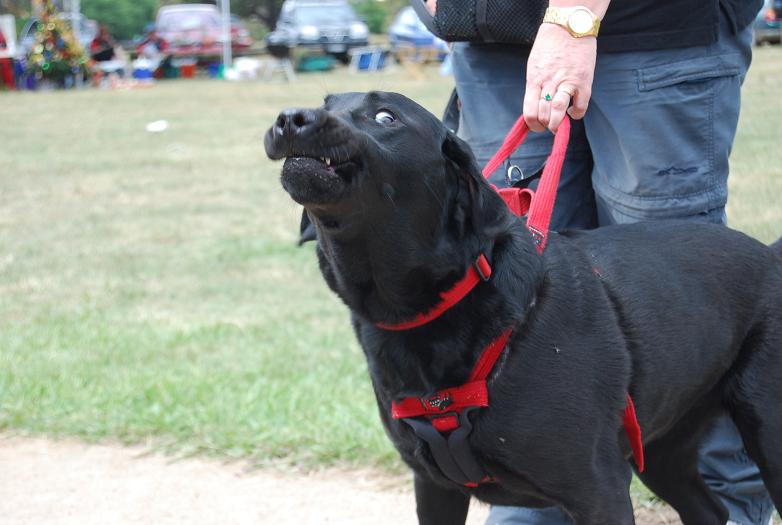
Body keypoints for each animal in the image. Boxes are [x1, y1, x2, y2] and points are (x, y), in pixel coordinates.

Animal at [264, 91, 782, 525]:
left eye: (386, 117)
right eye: (328, 102)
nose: (290, 118)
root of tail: (771, 255)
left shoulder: (599, 491)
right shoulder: (434, 488)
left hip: (766, 434)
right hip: (663, 449)